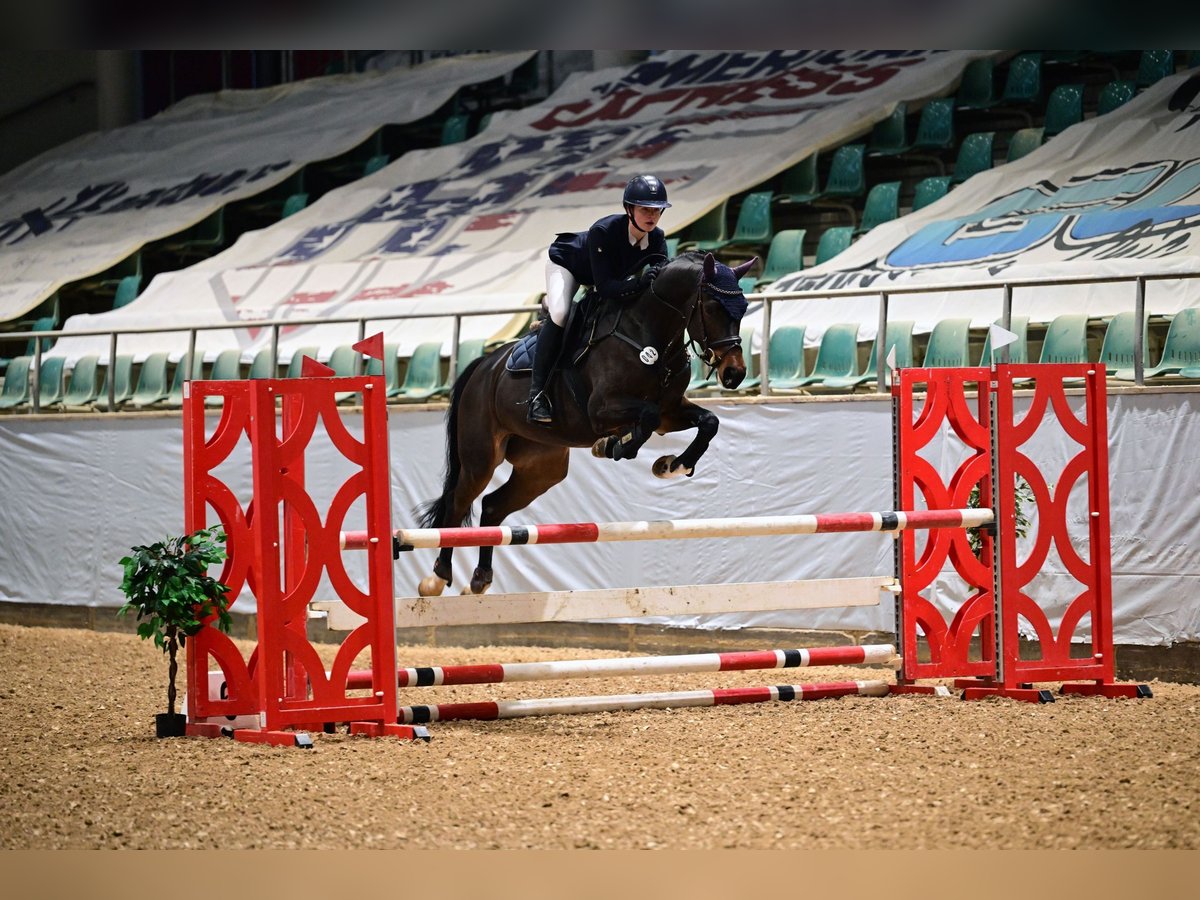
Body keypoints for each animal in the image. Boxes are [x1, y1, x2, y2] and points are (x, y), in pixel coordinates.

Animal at [412, 250, 748, 600]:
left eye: (744, 308)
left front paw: (672, 465)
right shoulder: (601, 410)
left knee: (492, 507)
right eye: (712, 307)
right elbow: (646, 418)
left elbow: (708, 422)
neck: (650, 333)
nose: (734, 374)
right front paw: (612, 446)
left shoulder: (670, 412)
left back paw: (479, 579)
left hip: (542, 468)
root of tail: (482, 366)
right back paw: (436, 577)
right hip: (480, 458)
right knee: (457, 503)